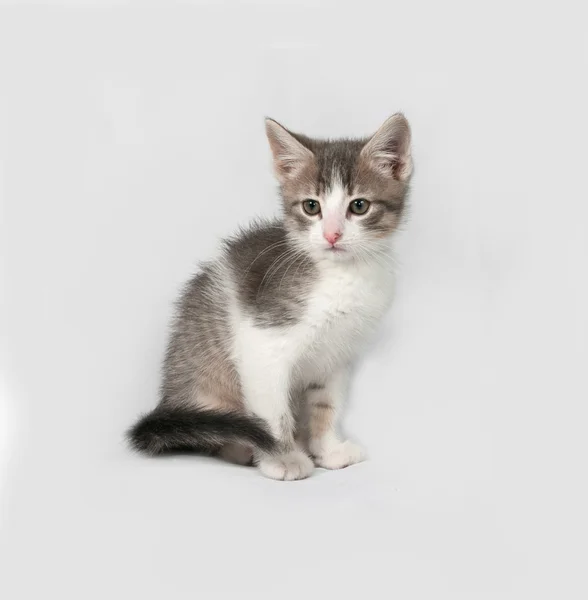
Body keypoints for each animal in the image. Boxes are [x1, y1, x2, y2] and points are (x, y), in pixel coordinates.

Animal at [127, 111, 414, 478]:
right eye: (311, 207)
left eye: (359, 206)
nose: (332, 235)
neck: (342, 274)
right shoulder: (262, 342)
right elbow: (273, 411)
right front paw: (283, 458)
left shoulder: (337, 353)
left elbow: (326, 404)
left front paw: (328, 450)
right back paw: (239, 447)